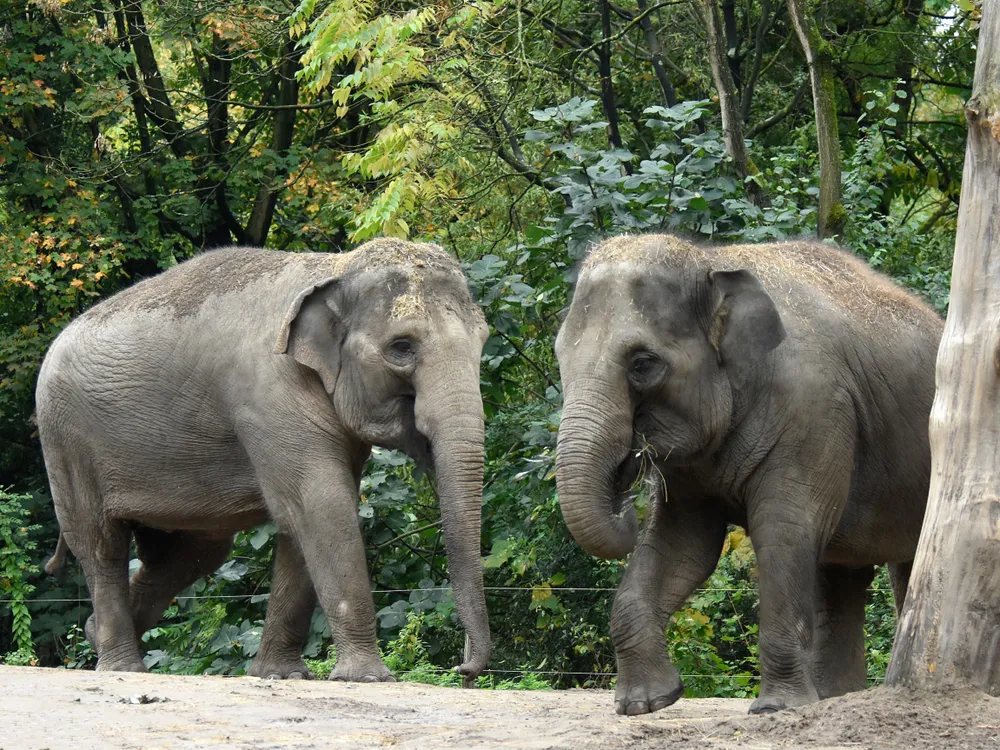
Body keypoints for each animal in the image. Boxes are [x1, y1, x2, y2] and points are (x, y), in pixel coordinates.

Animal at [35, 239, 491, 684]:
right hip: (66, 440)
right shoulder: (270, 395)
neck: (335, 268)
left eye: (483, 340)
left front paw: (282, 676)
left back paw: (94, 633)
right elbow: (321, 506)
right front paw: (367, 678)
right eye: (401, 347)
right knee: (102, 544)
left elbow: (301, 521)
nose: (463, 670)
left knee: (191, 554)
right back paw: (121, 667)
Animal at [554, 233, 943, 715]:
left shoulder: (813, 409)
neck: (711, 261)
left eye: (642, 364)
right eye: (559, 355)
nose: (625, 497)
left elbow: (783, 531)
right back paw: (835, 699)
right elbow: (685, 544)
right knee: (844, 574)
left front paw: (776, 709)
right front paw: (644, 703)